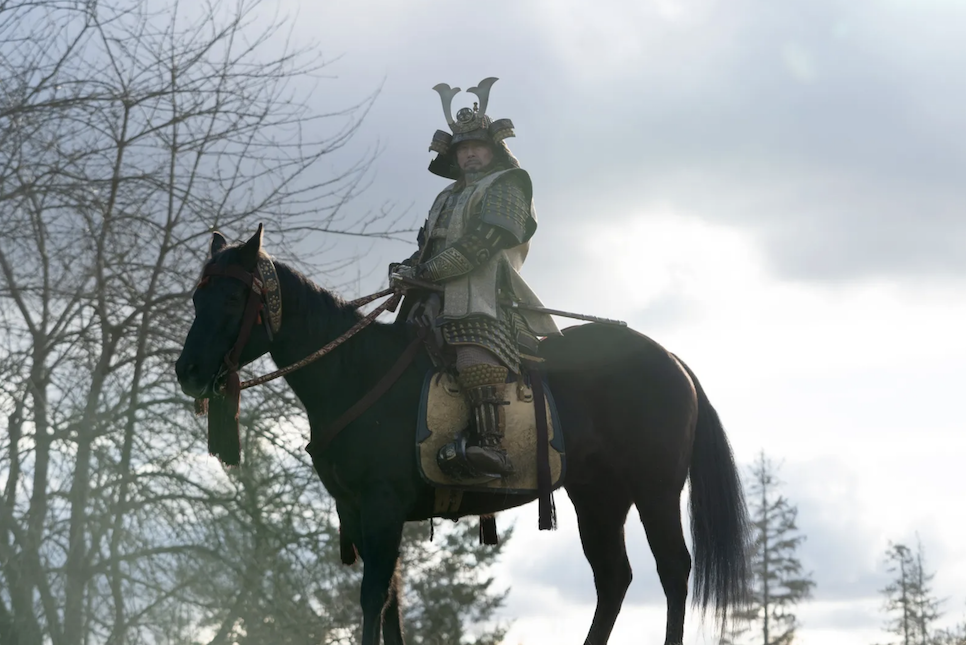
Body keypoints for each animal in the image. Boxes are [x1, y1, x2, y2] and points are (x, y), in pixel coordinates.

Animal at [174, 230, 748, 644]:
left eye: (232, 297)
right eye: (198, 296)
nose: (188, 371)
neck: (354, 370)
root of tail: (672, 361)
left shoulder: (381, 507)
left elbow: (373, 596)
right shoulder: (359, 511)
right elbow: (390, 602)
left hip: (654, 489)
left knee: (672, 570)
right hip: (598, 495)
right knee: (613, 578)